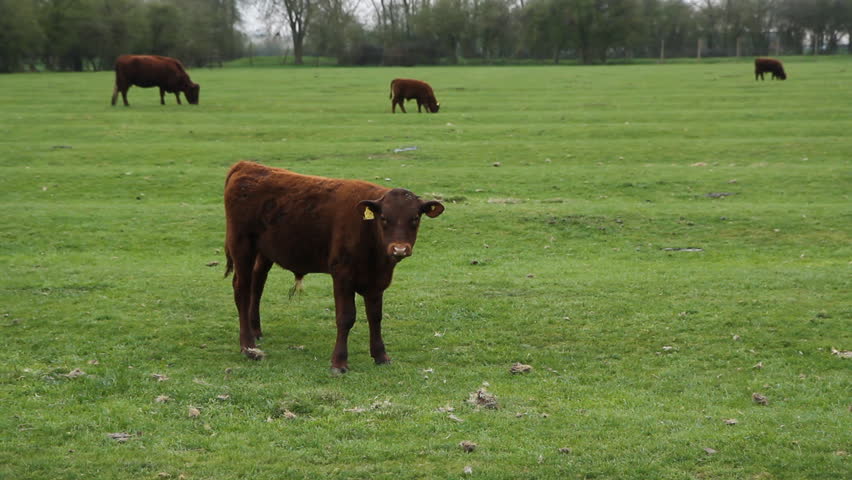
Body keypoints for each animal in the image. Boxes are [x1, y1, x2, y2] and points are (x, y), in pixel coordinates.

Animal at [223, 161, 445, 373]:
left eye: (414, 218)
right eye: (383, 218)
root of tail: (246, 166)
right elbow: (345, 317)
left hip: (264, 252)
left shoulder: (377, 280)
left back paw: (256, 331)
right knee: (242, 289)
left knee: (257, 284)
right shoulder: (342, 274)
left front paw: (381, 356)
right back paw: (248, 346)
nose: (399, 249)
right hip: (242, 246)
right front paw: (339, 362)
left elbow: (375, 317)